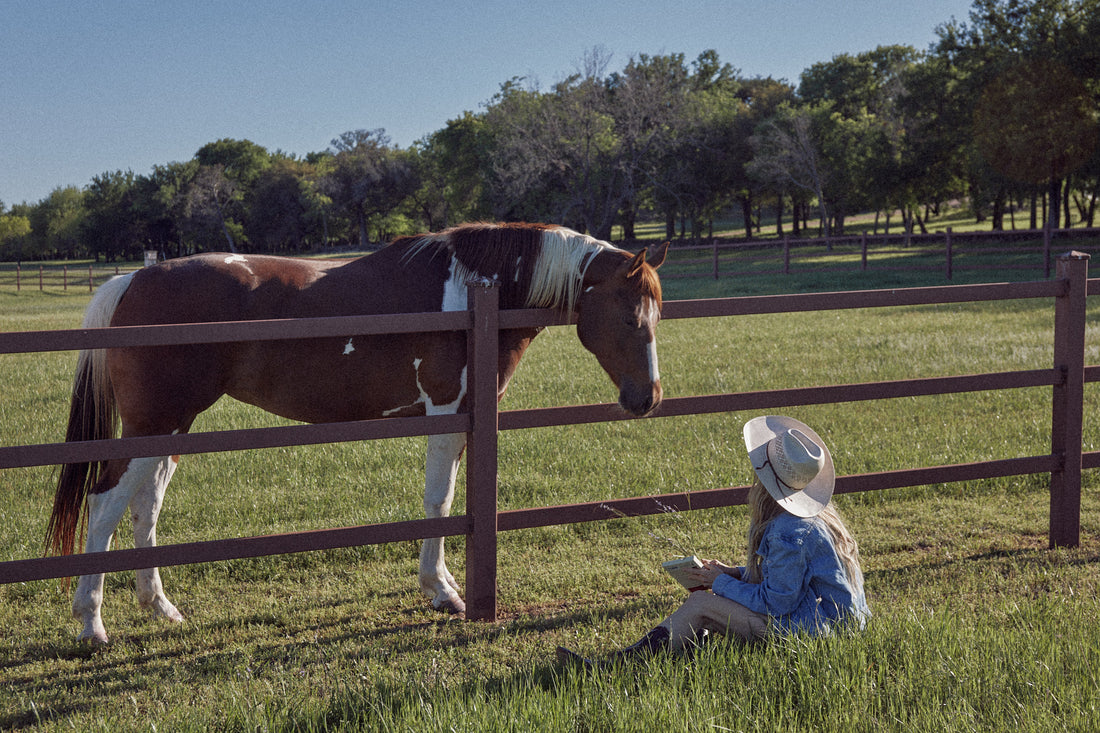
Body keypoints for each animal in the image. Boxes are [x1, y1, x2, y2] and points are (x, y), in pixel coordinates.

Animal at [45, 222, 668, 644]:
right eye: (631, 317)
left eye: (657, 316)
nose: (648, 399)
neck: (478, 291)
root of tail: (133, 278)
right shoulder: (447, 411)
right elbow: (440, 501)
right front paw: (443, 592)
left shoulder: (465, 418)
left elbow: (451, 503)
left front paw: (441, 585)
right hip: (153, 425)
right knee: (105, 504)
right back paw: (91, 624)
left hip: (172, 429)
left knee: (144, 506)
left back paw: (160, 608)